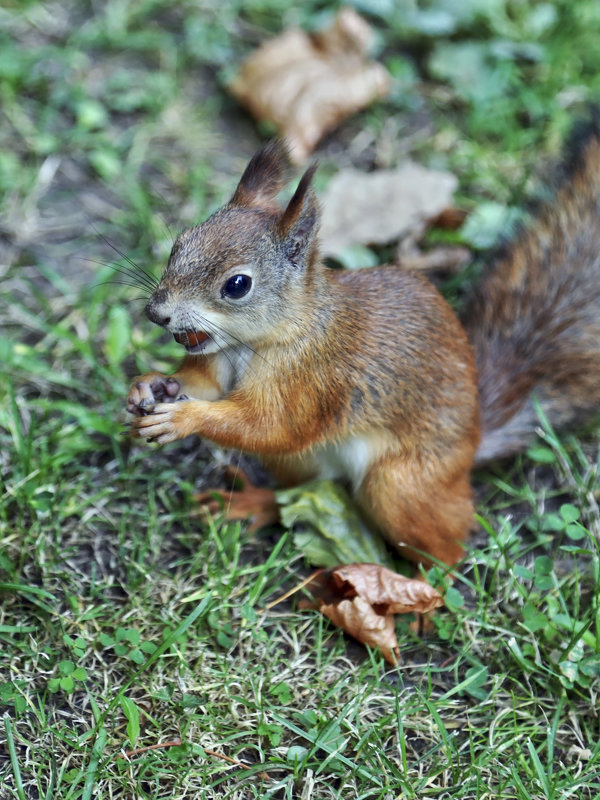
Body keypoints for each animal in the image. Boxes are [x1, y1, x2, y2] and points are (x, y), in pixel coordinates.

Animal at [129, 128, 600, 568]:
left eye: (238, 285)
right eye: (181, 242)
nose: (156, 312)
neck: (253, 343)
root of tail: (474, 440)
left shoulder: (313, 380)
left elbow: (270, 427)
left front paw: (184, 418)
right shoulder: (217, 361)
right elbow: (205, 387)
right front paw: (149, 386)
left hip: (398, 486)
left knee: (447, 551)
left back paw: (417, 593)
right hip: (300, 464)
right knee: (301, 488)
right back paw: (252, 502)